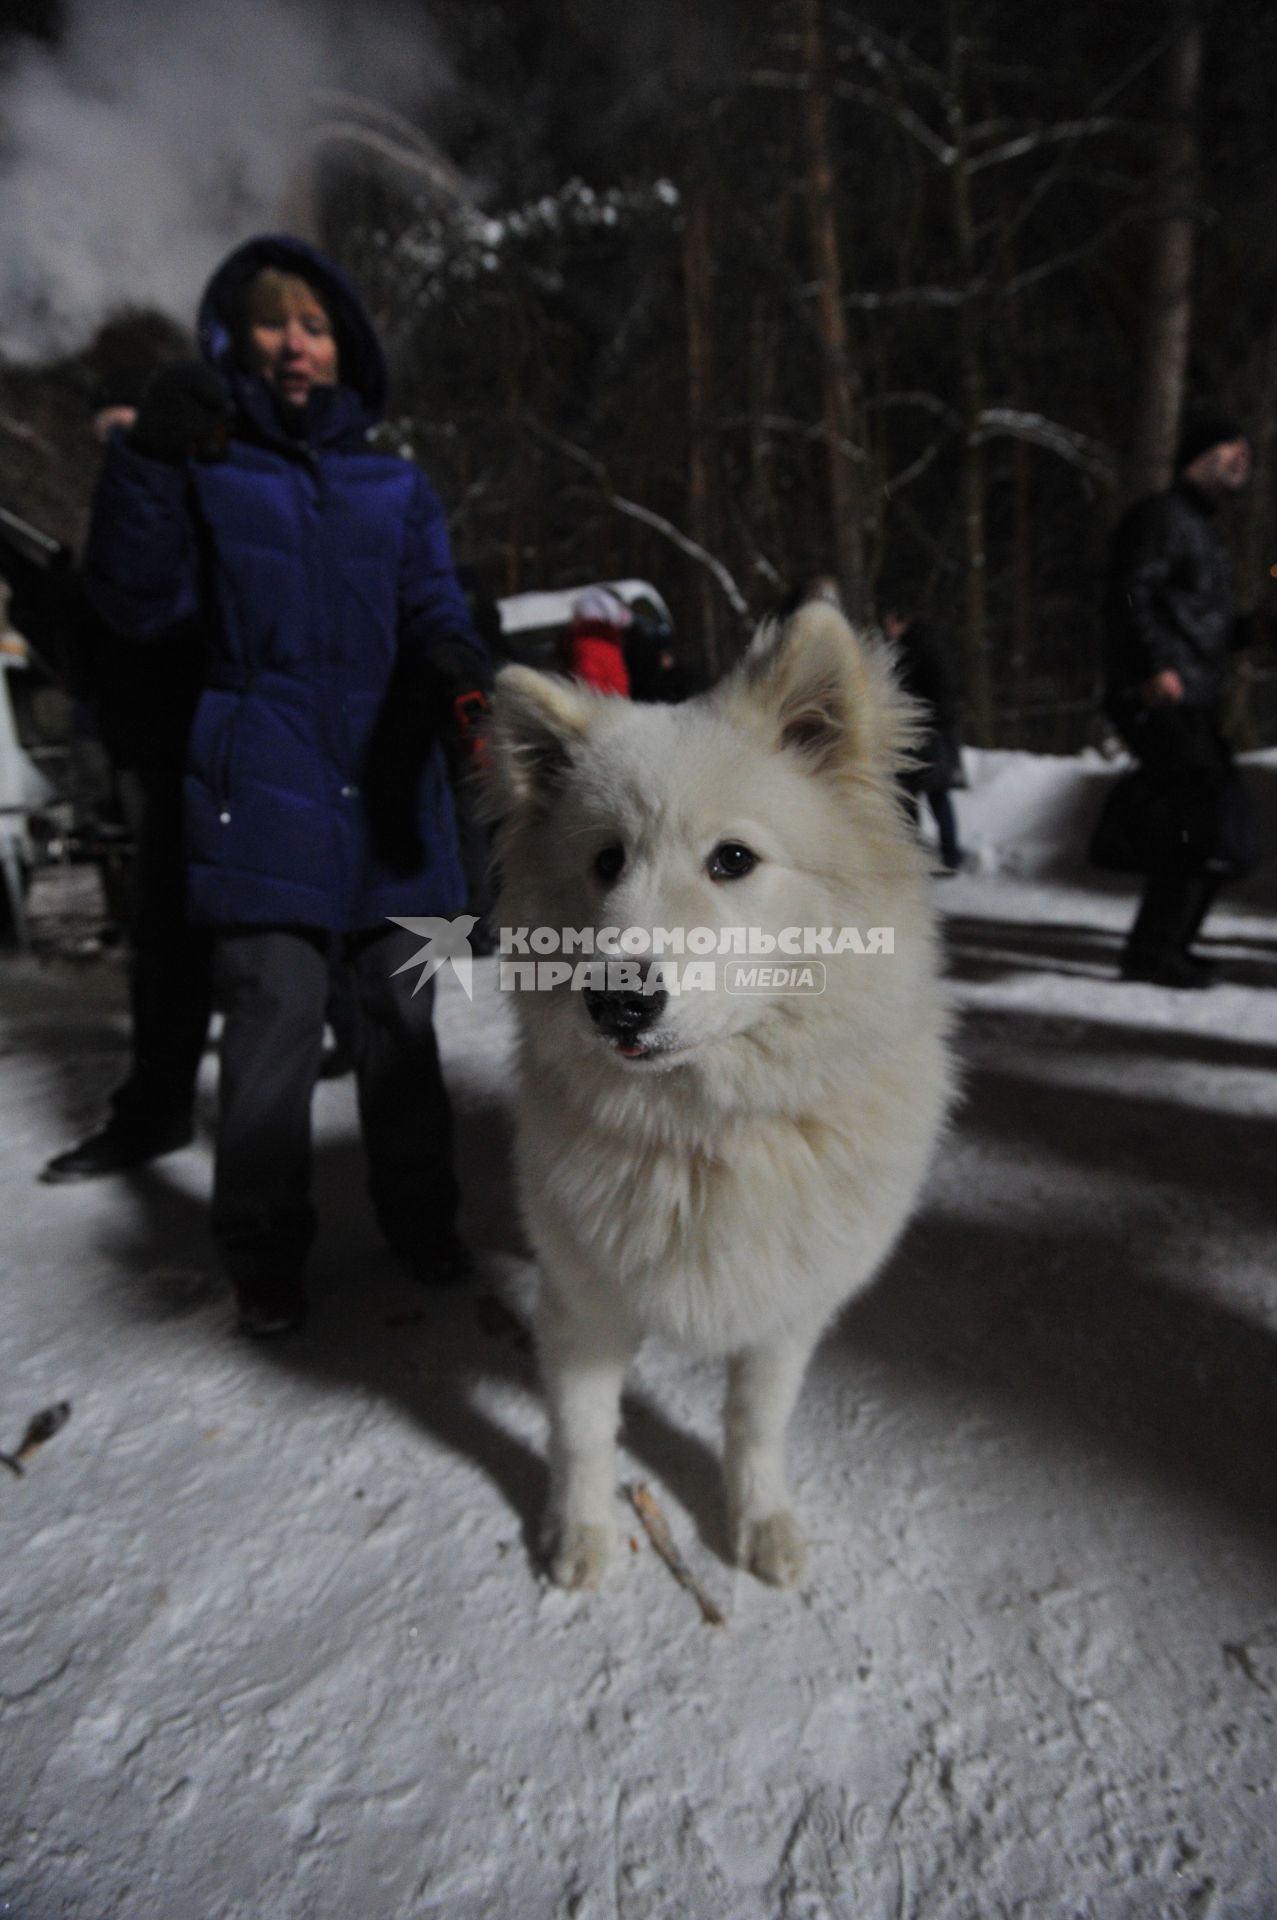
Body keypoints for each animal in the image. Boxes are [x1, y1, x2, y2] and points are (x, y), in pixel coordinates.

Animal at [491, 602, 952, 1589]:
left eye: (732, 859)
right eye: (605, 862)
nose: (616, 1000)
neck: (707, 1135)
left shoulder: (786, 1313)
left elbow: (753, 1425)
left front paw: (758, 1525)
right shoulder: (581, 1303)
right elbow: (582, 1434)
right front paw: (577, 1536)